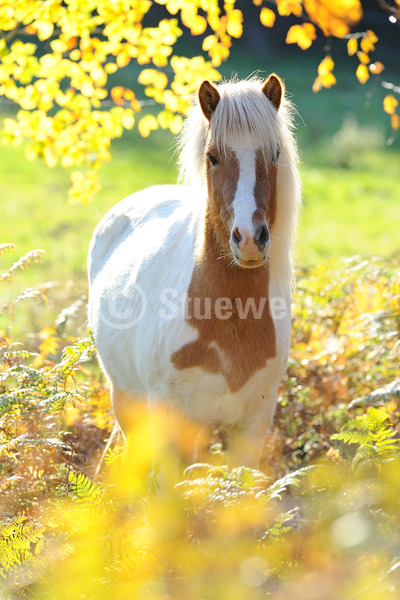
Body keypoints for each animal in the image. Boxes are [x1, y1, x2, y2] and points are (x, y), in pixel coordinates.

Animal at [88, 75, 300, 468]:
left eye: (275, 154)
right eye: (213, 157)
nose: (250, 238)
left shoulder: (252, 426)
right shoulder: (169, 420)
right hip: (125, 400)